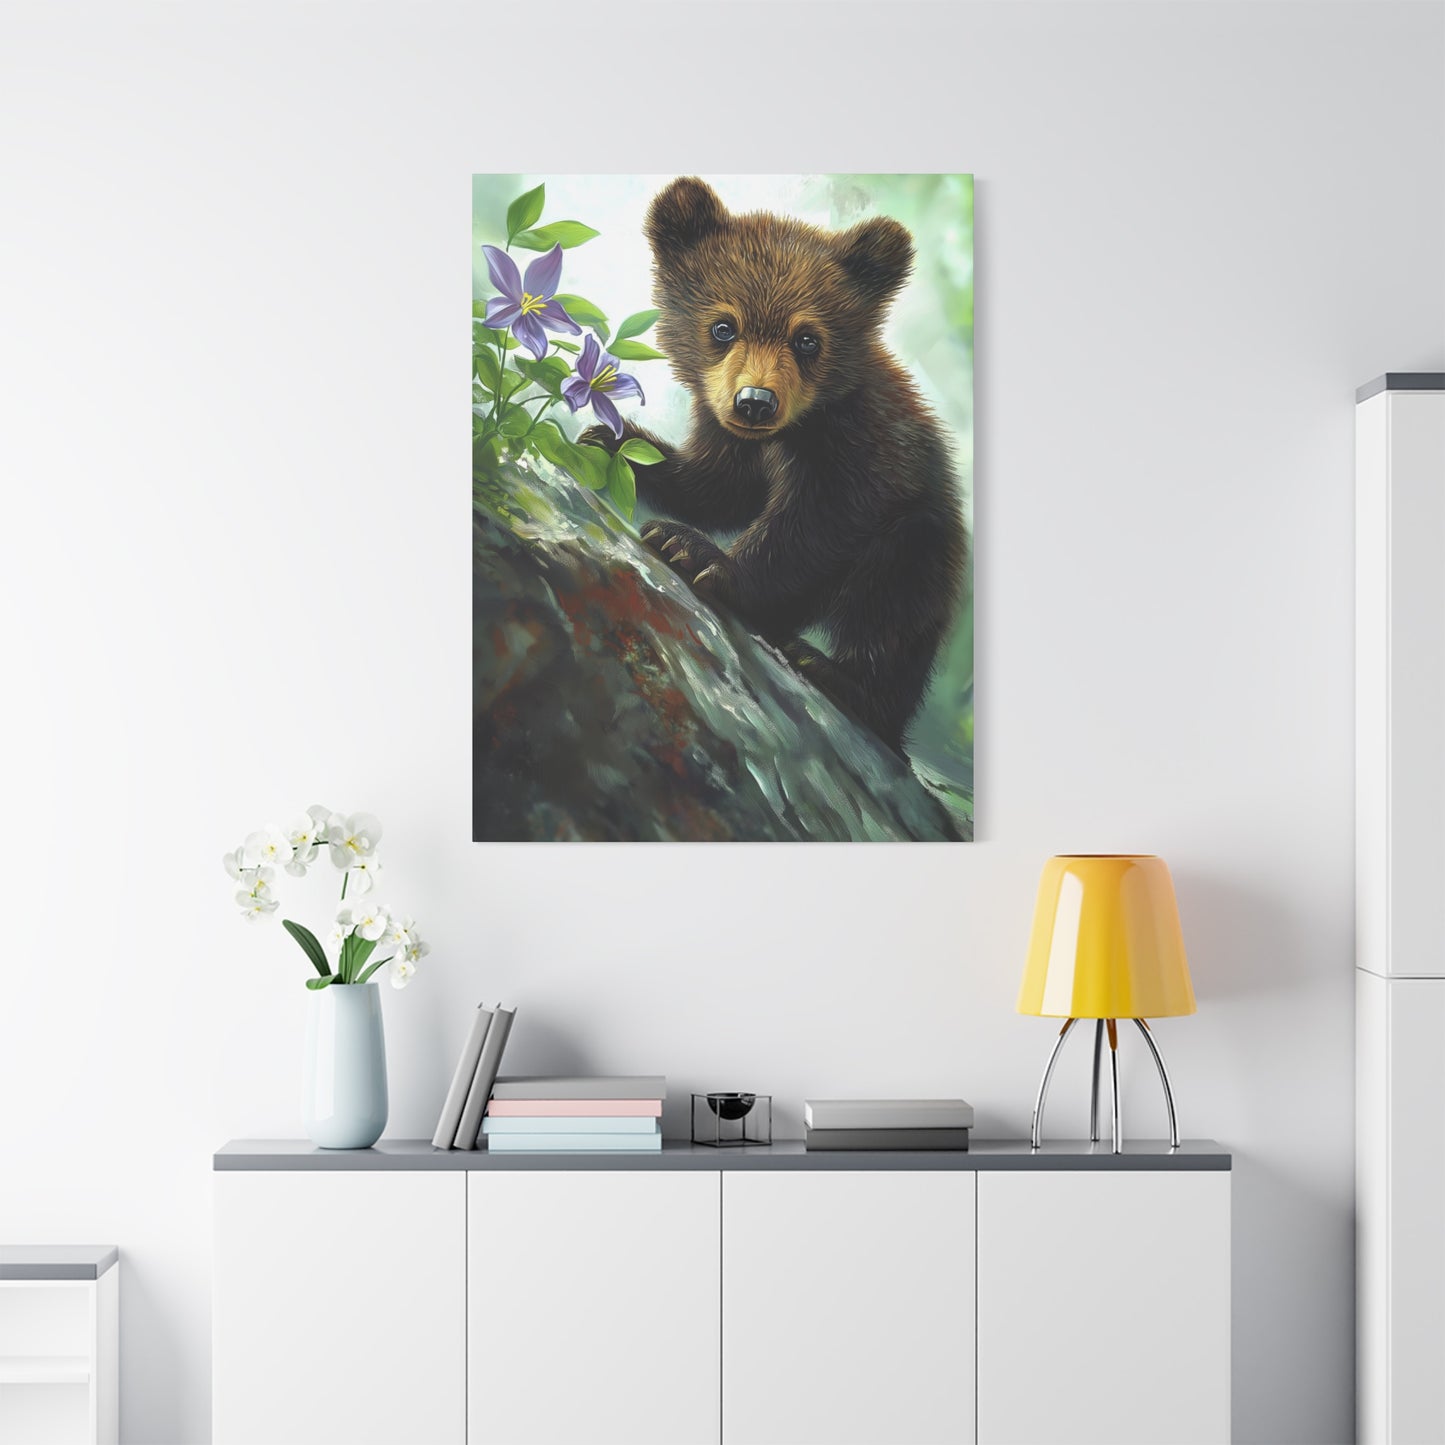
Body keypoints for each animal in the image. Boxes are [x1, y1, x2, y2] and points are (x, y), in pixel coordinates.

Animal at [585, 176, 967, 754]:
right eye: (723, 327)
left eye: (807, 338)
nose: (755, 402)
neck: (791, 433)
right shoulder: (729, 434)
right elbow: (716, 487)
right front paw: (615, 440)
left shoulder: (858, 448)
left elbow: (814, 524)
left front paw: (695, 551)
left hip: (924, 541)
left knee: (896, 599)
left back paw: (836, 673)